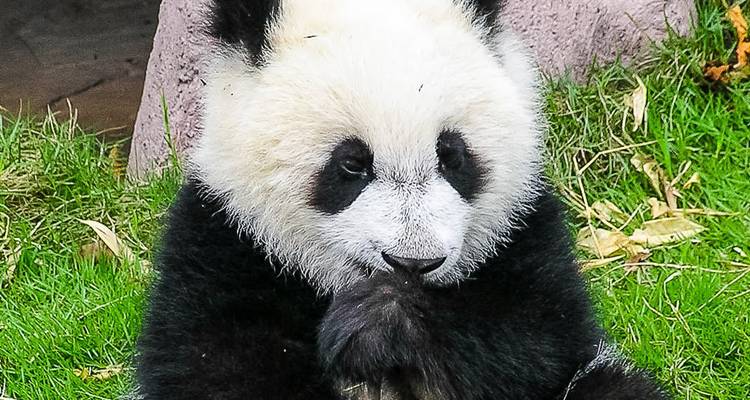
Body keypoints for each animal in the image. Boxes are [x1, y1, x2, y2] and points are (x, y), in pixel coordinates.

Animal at [135, 0, 671, 399]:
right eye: (352, 164)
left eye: (452, 155)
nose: (415, 263)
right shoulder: (221, 239)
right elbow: (210, 366)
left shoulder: (522, 230)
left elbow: (539, 339)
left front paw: (379, 324)